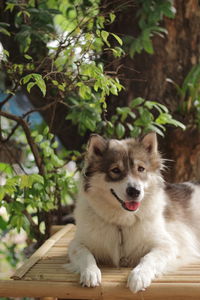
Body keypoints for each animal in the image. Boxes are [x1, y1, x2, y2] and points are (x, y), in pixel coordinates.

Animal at [66, 132, 200, 292]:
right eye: (115, 170)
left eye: (141, 169)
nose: (135, 191)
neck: (122, 223)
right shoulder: (76, 244)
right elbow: (85, 255)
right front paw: (90, 272)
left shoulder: (167, 245)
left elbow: (149, 258)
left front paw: (139, 276)